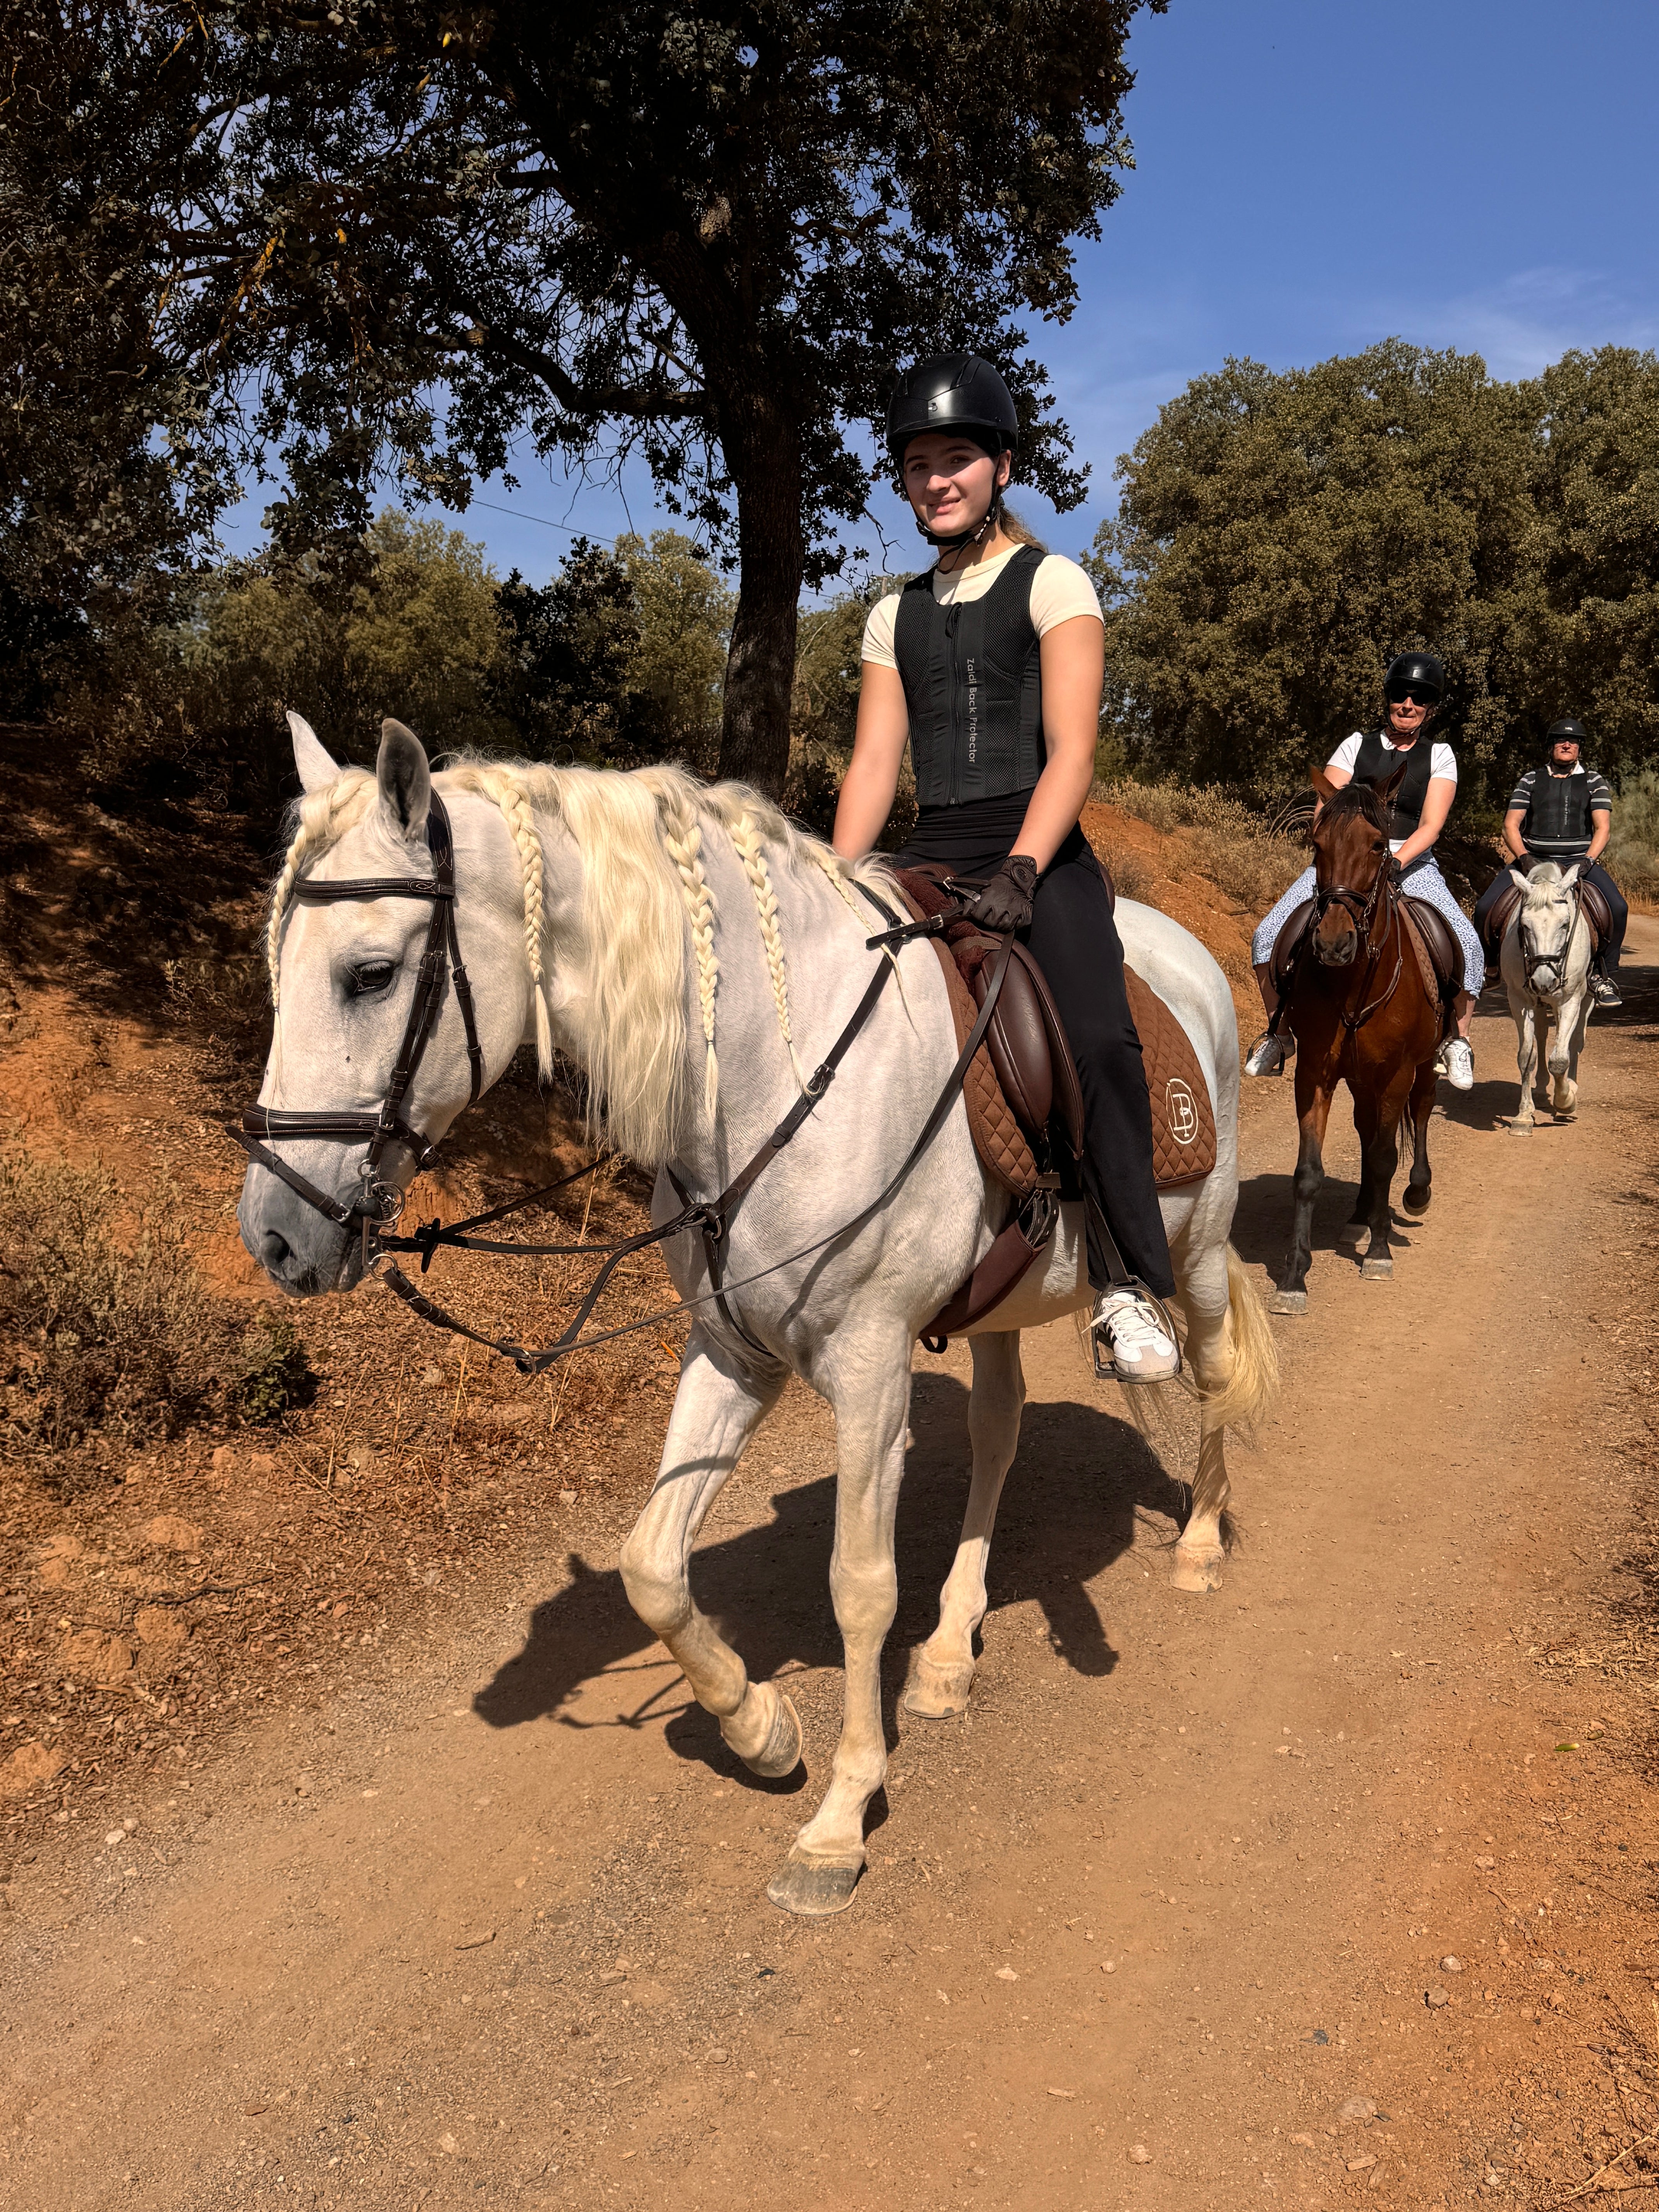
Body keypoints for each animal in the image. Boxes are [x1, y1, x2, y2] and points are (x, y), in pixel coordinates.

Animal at [237, 715, 1277, 1918]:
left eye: (370, 974)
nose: (274, 1233)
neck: (764, 1075)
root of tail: (1189, 953)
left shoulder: (868, 1368)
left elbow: (859, 1588)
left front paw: (838, 1819)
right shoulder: (731, 1350)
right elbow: (651, 1565)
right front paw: (760, 1729)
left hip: (1196, 1253)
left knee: (1212, 1376)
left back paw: (1196, 1544)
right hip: (998, 1308)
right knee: (999, 1432)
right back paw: (949, 1651)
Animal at [1268, 768, 1445, 1315]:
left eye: (1377, 845)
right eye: (1317, 844)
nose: (1332, 943)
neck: (1353, 983)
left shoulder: (1397, 1073)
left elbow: (1388, 1158)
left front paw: (1381, 1253)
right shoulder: (1315, 1073)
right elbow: (1309, 1172)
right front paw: (1294, 1277)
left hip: (1419, 1067)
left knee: (1420, 1114)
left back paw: (1413, 1196)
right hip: (1361, 1080)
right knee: (1368, 1132)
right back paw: (1361, 1217)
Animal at [1497, 861, 1595, 1134]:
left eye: (1564, 924)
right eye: (1524, 926)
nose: (1544, 981)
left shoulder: (1570, 1001)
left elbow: (1560, 1059)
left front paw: (1566, 1101)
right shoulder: (1519, 1000)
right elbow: (1526, 1057)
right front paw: (1523, 1115)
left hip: (1585, 1000)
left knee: (1575, 1040)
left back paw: (1571, 1088)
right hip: (1539, 1004)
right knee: (1542, 1037)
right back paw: (1541, 1090)